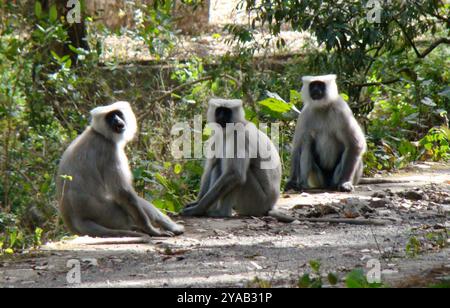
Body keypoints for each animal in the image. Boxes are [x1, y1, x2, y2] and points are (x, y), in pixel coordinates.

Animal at [56, 101, 185, 238]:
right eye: (110, 117)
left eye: (117, 114)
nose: (117, 120)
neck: (98, 133)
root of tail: (77, 220)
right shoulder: (109, 150)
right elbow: (122, 192)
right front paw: (151, 229)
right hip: (110, 215)